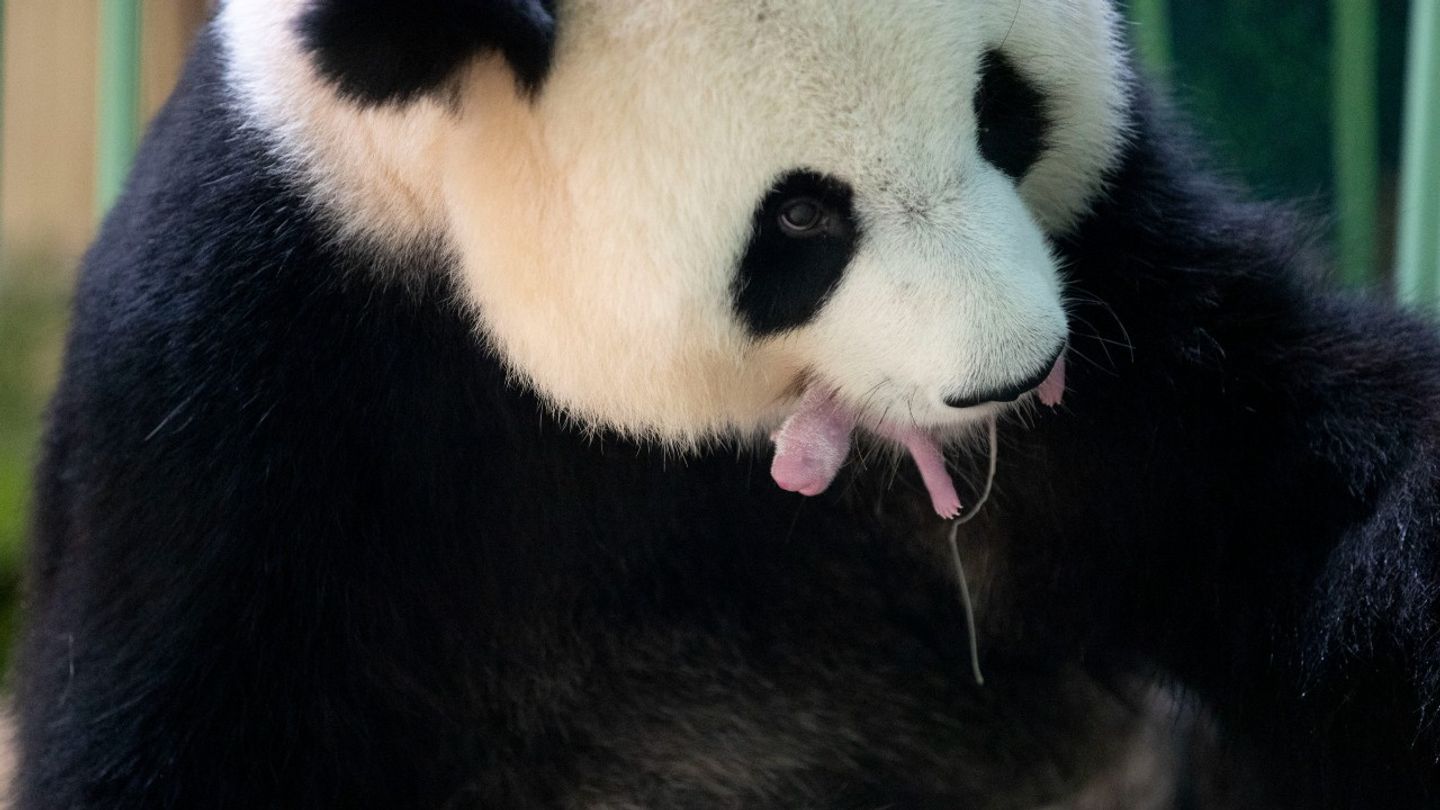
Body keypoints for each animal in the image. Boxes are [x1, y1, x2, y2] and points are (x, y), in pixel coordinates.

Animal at [16, 0, 1440, 807]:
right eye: (802, 215)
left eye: (1004, 109)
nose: (1014, 373)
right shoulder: (247, 394)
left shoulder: (1127, 298)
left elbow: (1273, 500)